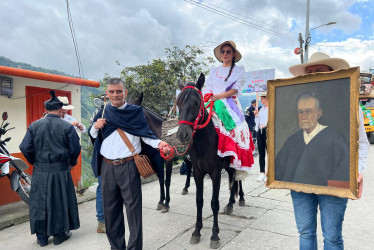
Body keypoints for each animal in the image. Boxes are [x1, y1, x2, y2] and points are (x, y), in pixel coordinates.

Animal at [176, 73, 234, 249]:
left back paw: (239, 199)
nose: (183, 134)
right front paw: (196, 231)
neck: (204, 143)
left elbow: (214, 203)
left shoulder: (215, 173)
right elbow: (199, 201)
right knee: (233, 180)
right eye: (178, 103)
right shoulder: (198, 172)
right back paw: (231, 203)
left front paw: (215, 235)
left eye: (196, 102)